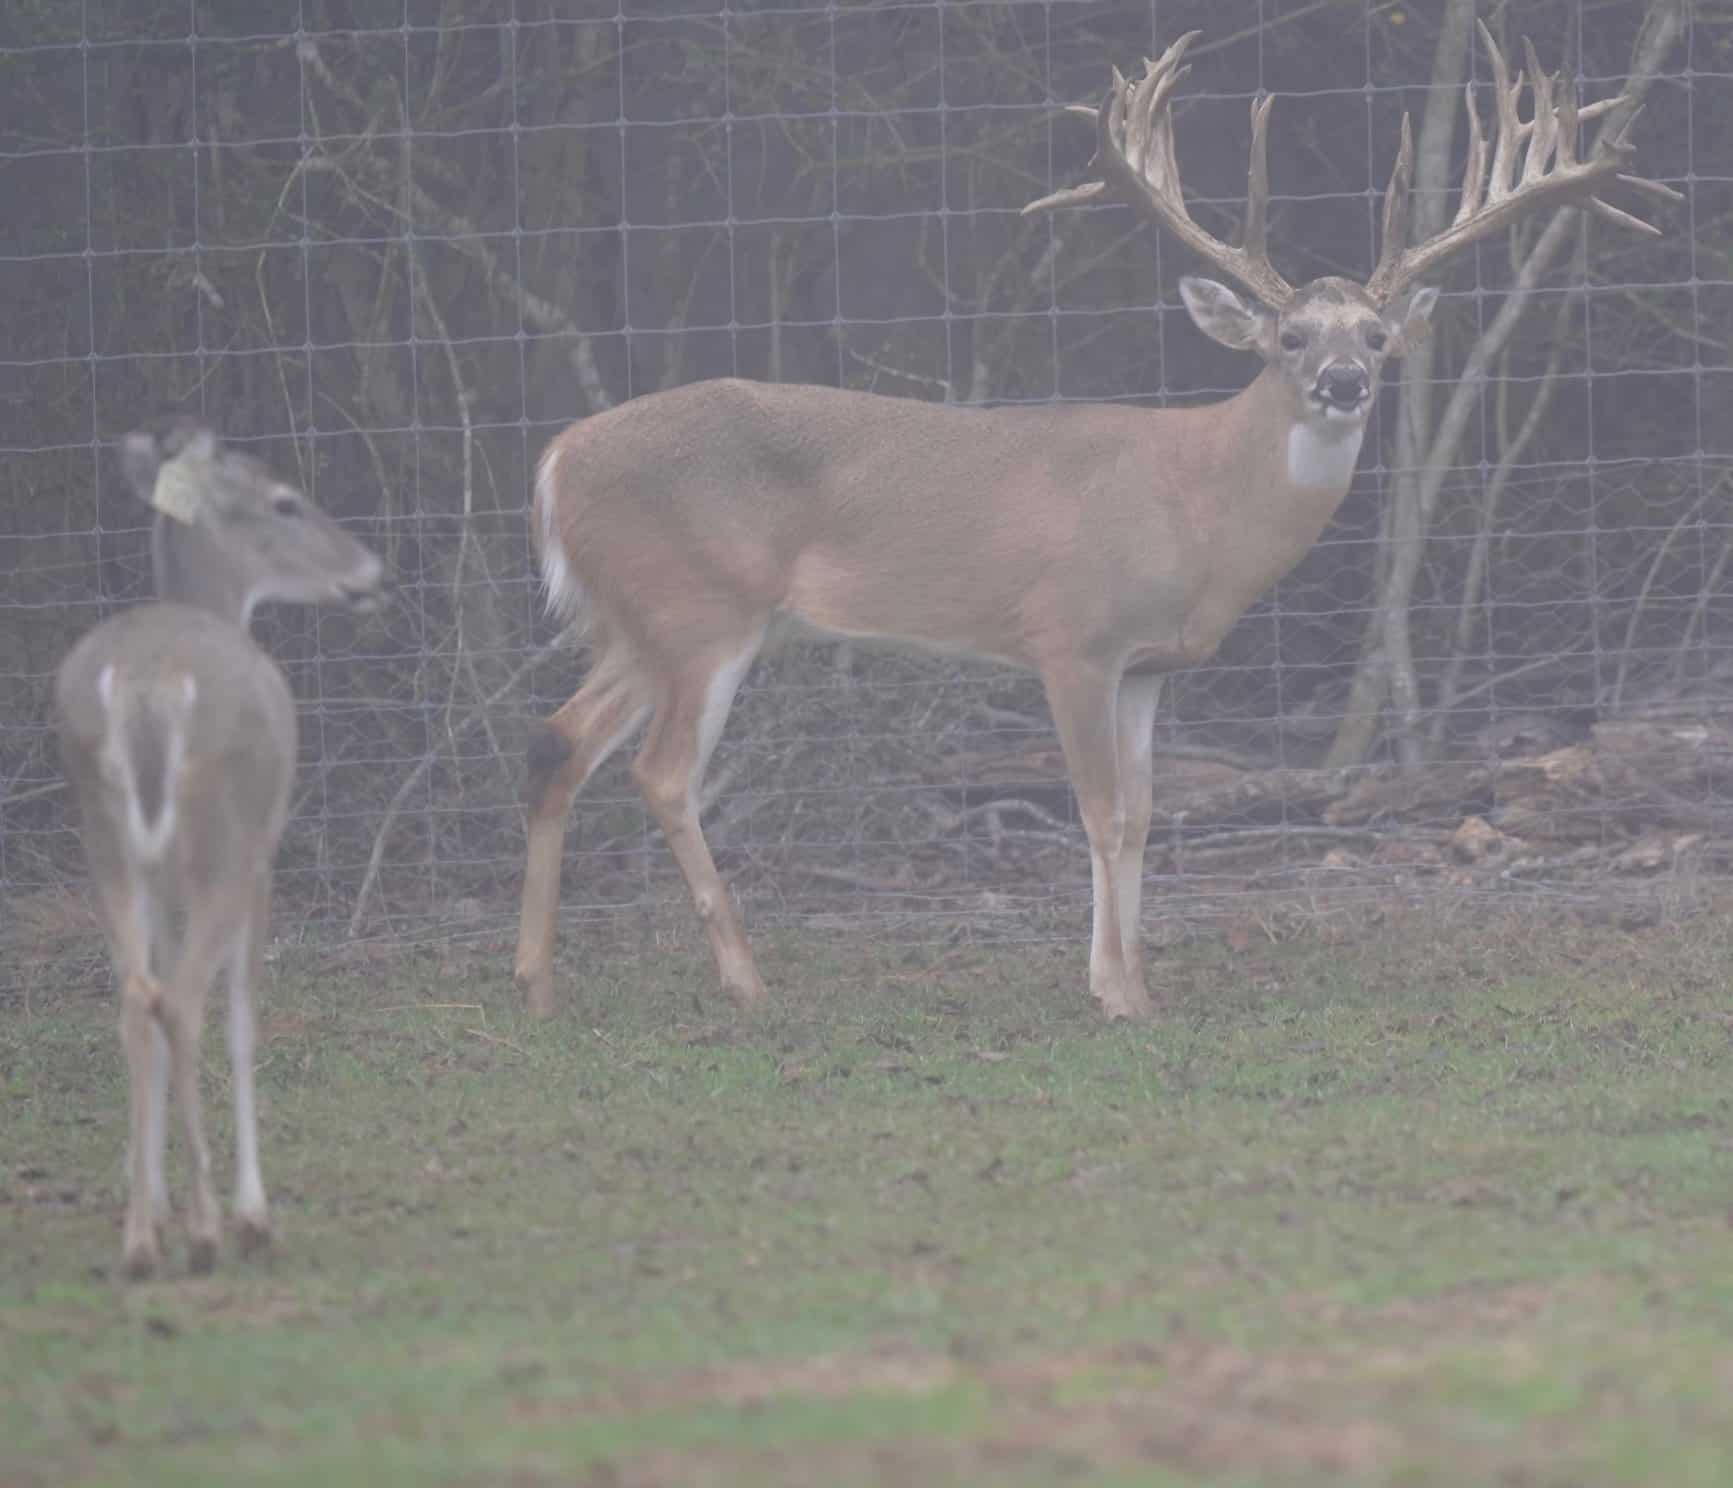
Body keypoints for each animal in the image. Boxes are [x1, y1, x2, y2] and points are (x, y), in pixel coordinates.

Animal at [55, 420, 385, 1279]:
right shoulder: (263, 857)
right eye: (284, 500)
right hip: (224, 844)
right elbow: (243, 1023)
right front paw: (249, 1212)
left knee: (137, 1002)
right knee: (183, 1000)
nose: (372, 569)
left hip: (108, 845)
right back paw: (210, 1232)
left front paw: (157, 1200)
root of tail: (145, 688)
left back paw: (143, 1240)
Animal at [514, 25, 1677, 1023]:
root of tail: (554, 462)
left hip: (642, 622)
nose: (1344, 382)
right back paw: (745, 982)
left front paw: (1128, 982)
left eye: (1379, 336)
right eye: (1290, 337)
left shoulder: (1150, 666)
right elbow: (1099, 810)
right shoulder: (1067, 635)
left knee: (559, 739)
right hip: (702, 608)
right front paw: (1116, 994)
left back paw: (536, 980)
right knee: (659, 772)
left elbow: (1144, 818)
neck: (1197, 509)